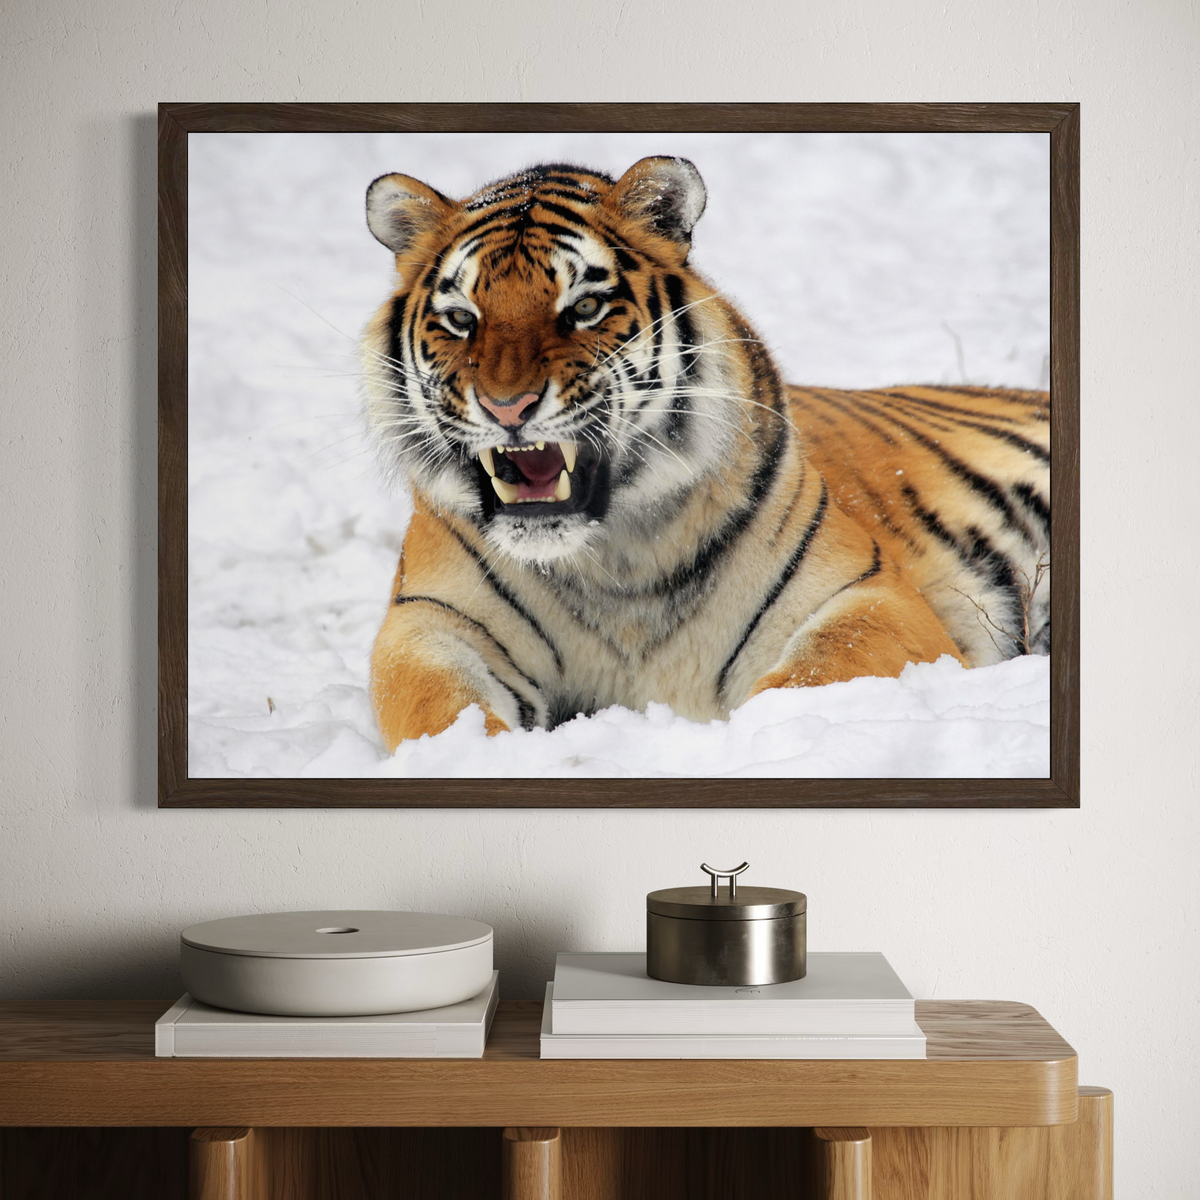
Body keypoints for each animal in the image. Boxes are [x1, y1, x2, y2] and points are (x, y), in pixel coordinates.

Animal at [360, 157, 1050, 752]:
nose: (507, 407)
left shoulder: (867, 594)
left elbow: (810, 678)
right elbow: (440, 709)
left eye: (584, 308)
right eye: (461, 318)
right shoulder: (429, 622)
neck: (613, 562)